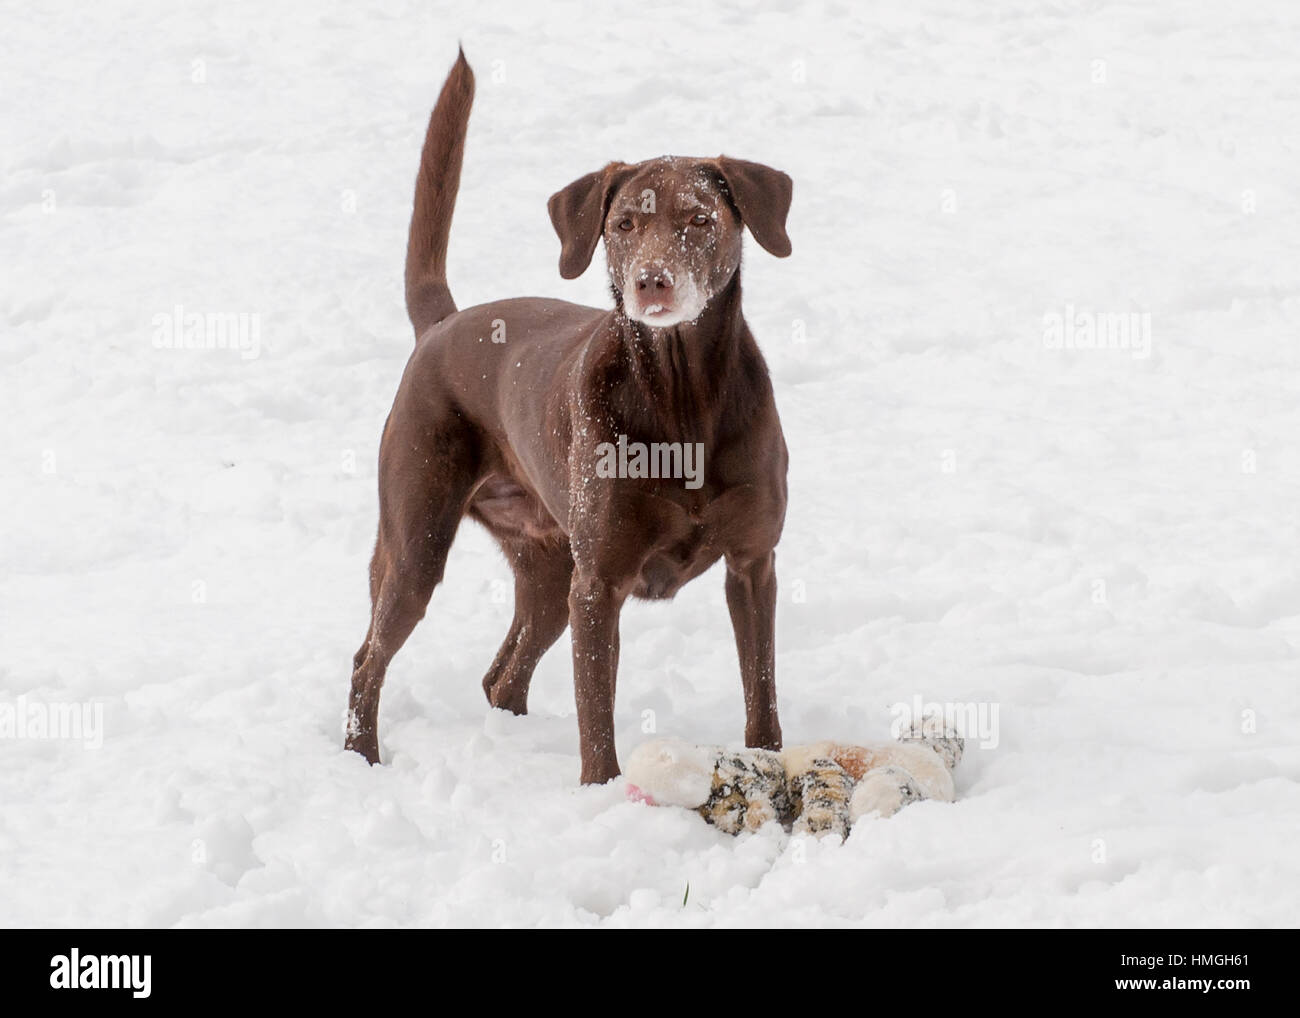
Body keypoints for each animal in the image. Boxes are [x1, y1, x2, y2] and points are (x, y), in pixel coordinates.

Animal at [345, 51, 790, 785]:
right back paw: (361, 758)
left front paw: (772, 763)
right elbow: (596, 715)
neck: (682, 397)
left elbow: (761, 690)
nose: (652, 281)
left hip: (549, 571)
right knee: (368, 659)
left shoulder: (754, 564)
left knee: (502, 676)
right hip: (418, 544)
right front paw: (602, 794)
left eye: (700, 220)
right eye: (624, 226)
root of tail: (441, 325)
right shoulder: (599, 585)